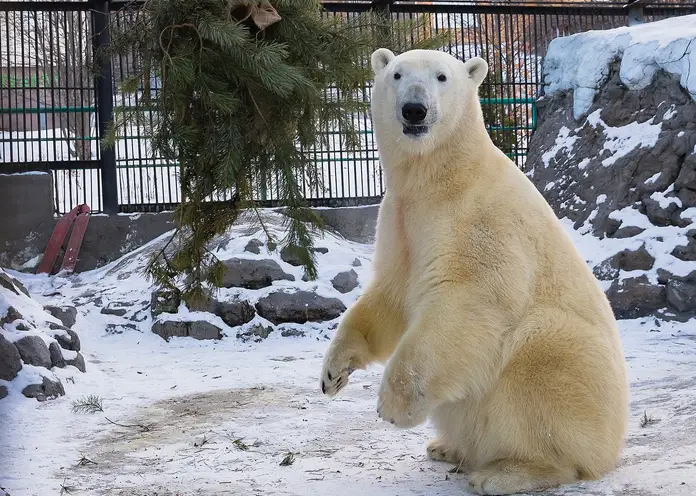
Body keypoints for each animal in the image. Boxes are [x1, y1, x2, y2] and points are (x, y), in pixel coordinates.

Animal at [320, 48, 632, 494]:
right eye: (396, 74)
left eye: (441, 76)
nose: (414, 109)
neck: (444, 177)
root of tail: (611, 446)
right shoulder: (399, 220)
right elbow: (391, 294)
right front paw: (334, 371)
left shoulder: (481, 221)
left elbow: (469, 300)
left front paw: (392, 406)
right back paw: (445, 447)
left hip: (577, 377)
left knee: (540, 356)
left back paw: (508, 471)